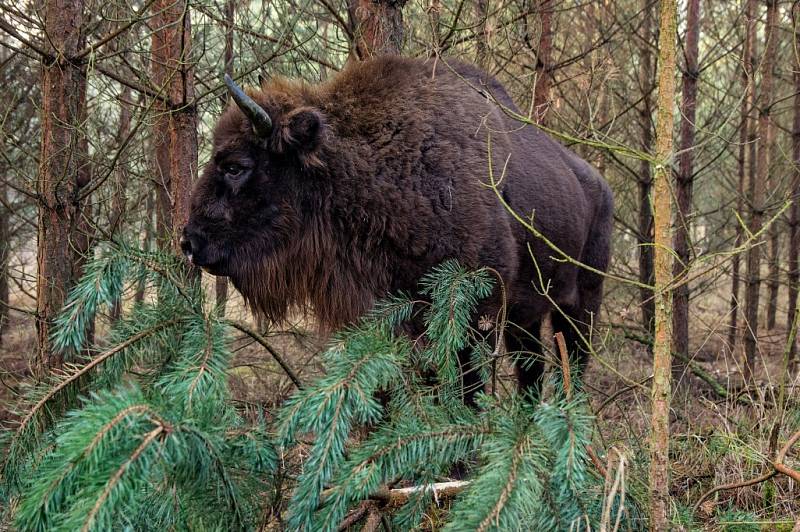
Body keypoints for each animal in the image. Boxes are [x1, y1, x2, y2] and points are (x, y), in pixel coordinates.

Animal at [184, 55, 616, 404]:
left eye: (235, 165)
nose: (189, 242)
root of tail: (599, 184)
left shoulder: (473, 308)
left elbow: (467, 385)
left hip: (581, 303)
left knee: (573, 363)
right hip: (525, 316)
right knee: (532, 369)